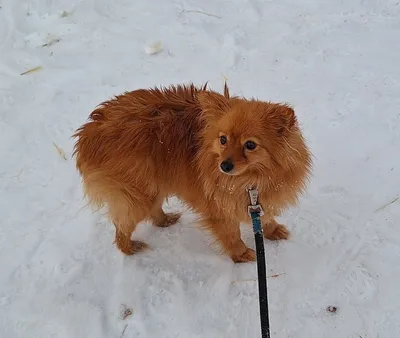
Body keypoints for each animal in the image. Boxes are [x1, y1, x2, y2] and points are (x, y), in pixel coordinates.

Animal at [74, 83, 312, 262]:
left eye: (250, 145)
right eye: (223, 140)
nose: (224, 166)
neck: (251, 180)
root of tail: (89, 131)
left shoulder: (258, 200)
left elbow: (266, 217)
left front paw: (272, 231)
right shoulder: (219, 208)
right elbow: (232, 235)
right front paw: (241, 254)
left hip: (153, 185)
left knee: (153, 210)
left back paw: (164, 220)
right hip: (136, 194)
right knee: (121, 227)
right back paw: (129, 247)